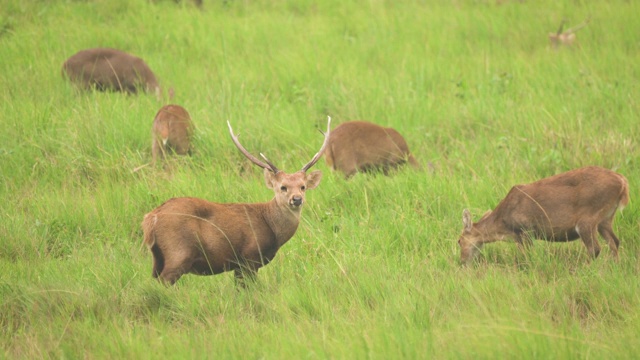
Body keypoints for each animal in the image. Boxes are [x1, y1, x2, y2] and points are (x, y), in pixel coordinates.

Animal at [142, 116, 332, 286]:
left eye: (303, 186)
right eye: (282, 187)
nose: (297, 199)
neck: (271, 226)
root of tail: (151, 219)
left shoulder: (240, 265)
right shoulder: (249, 257)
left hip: (157, 258)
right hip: (178, 251)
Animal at [460, 167, 632, 264]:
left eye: (459, 241)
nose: (462, 261)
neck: (503, 225)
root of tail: (623, 182)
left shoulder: (525, 230)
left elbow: (527, 256)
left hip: (588, 218)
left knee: (594, 248)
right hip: (606, 218)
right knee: (614, 242)